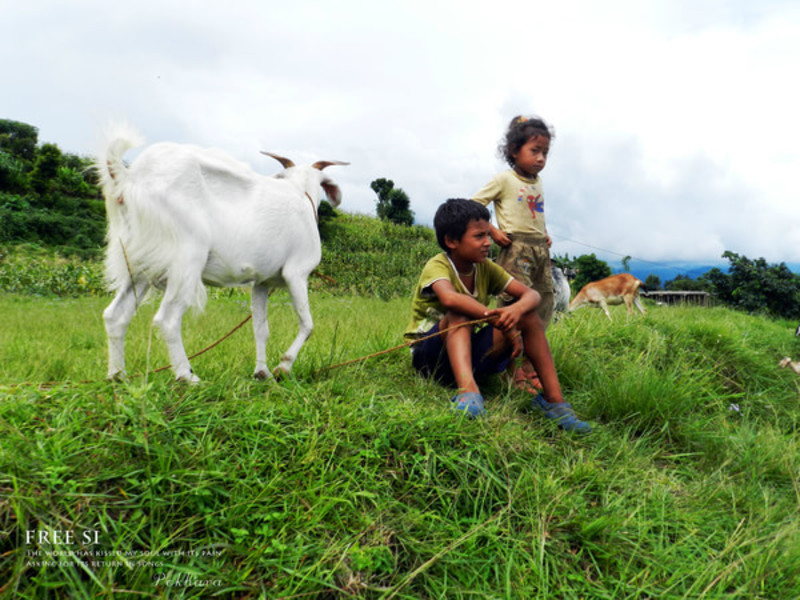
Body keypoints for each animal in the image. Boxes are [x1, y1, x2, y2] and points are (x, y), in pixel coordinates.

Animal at [97, 124, 346, 382]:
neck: (301, 192)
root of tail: (129, 178)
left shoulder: (262, 282)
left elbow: (261, 329)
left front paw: (262, 372)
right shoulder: (297, 273)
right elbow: (307, 325)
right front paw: (283, 367)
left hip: (139, 264)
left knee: (115, 316)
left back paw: (117, 375)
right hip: (186, 259)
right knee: (167, 319)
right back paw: (187, 377)